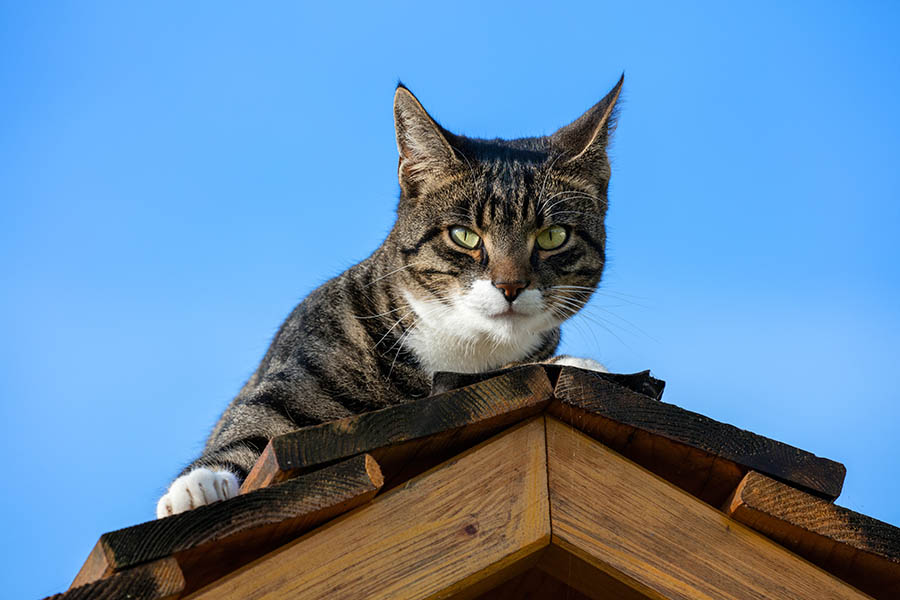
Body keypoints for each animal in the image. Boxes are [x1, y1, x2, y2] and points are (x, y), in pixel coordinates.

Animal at [156, 76, 620, 516]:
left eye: (553, 236)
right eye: (464, 235)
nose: (510, 286)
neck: (458, 348)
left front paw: (576, 365)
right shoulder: (304, 359)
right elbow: (254, 423)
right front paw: (197, 487)